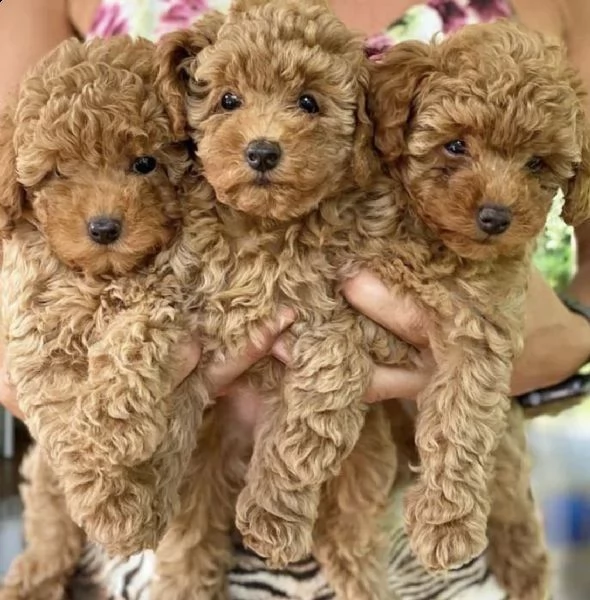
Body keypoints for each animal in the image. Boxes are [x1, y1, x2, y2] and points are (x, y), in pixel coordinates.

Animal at [0, 37, 210, 564]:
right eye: (58, 172)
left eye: (144, 163)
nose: (104, 228)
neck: (101, 279)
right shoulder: (35, 331)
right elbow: (63, 414)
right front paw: (112, 504)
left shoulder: (172, 296)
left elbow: (135, 338)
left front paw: (116, 432)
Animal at [154, 2, 402, 596]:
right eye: (228, 100)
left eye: (308, 102)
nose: (262, 151)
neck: (264, 227)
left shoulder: (335, 321)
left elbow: (306, 421)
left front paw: (272, 521)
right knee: (191, 537)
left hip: (363, 464)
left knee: (351, 528)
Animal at [366, 19, 590, 596]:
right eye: (455, 145)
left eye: (536, 164)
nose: (495, 218)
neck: (437, 242)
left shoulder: (482, 325)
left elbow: (460, 420)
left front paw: (445, 526)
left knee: (518, 527)